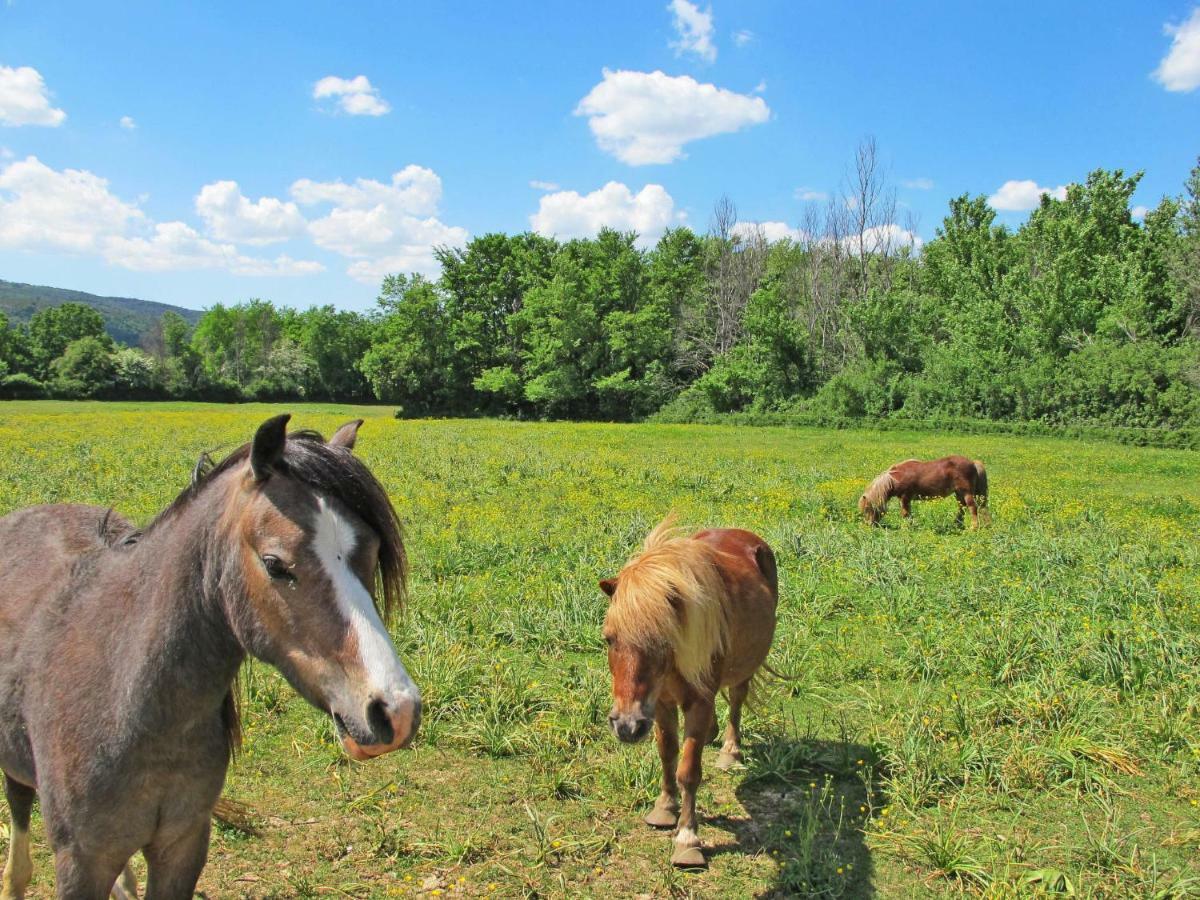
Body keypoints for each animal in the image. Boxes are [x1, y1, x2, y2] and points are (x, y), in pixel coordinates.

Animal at [600, 518, 777, 868]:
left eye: (661, 639)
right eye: (609, 639)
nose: (626, 726)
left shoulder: (697, 702)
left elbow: (689, 771)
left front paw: (687, 839)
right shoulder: (660, 705)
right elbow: (667, 752)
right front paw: (665, 807)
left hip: (744, 668)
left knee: (736, 701)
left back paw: (730, 751)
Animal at [859, 458, 988, 528]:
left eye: (867, 509)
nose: (869, 525)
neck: (895, 478)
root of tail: (973, 463)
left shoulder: (905, 497)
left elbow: (905, 513)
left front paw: (906, 527)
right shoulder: (906, 499)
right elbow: (908, 513)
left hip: (966, 493)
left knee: (972, 508)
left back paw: (973, 527)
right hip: (959, 493)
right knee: (962, 508)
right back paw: (957, 525)